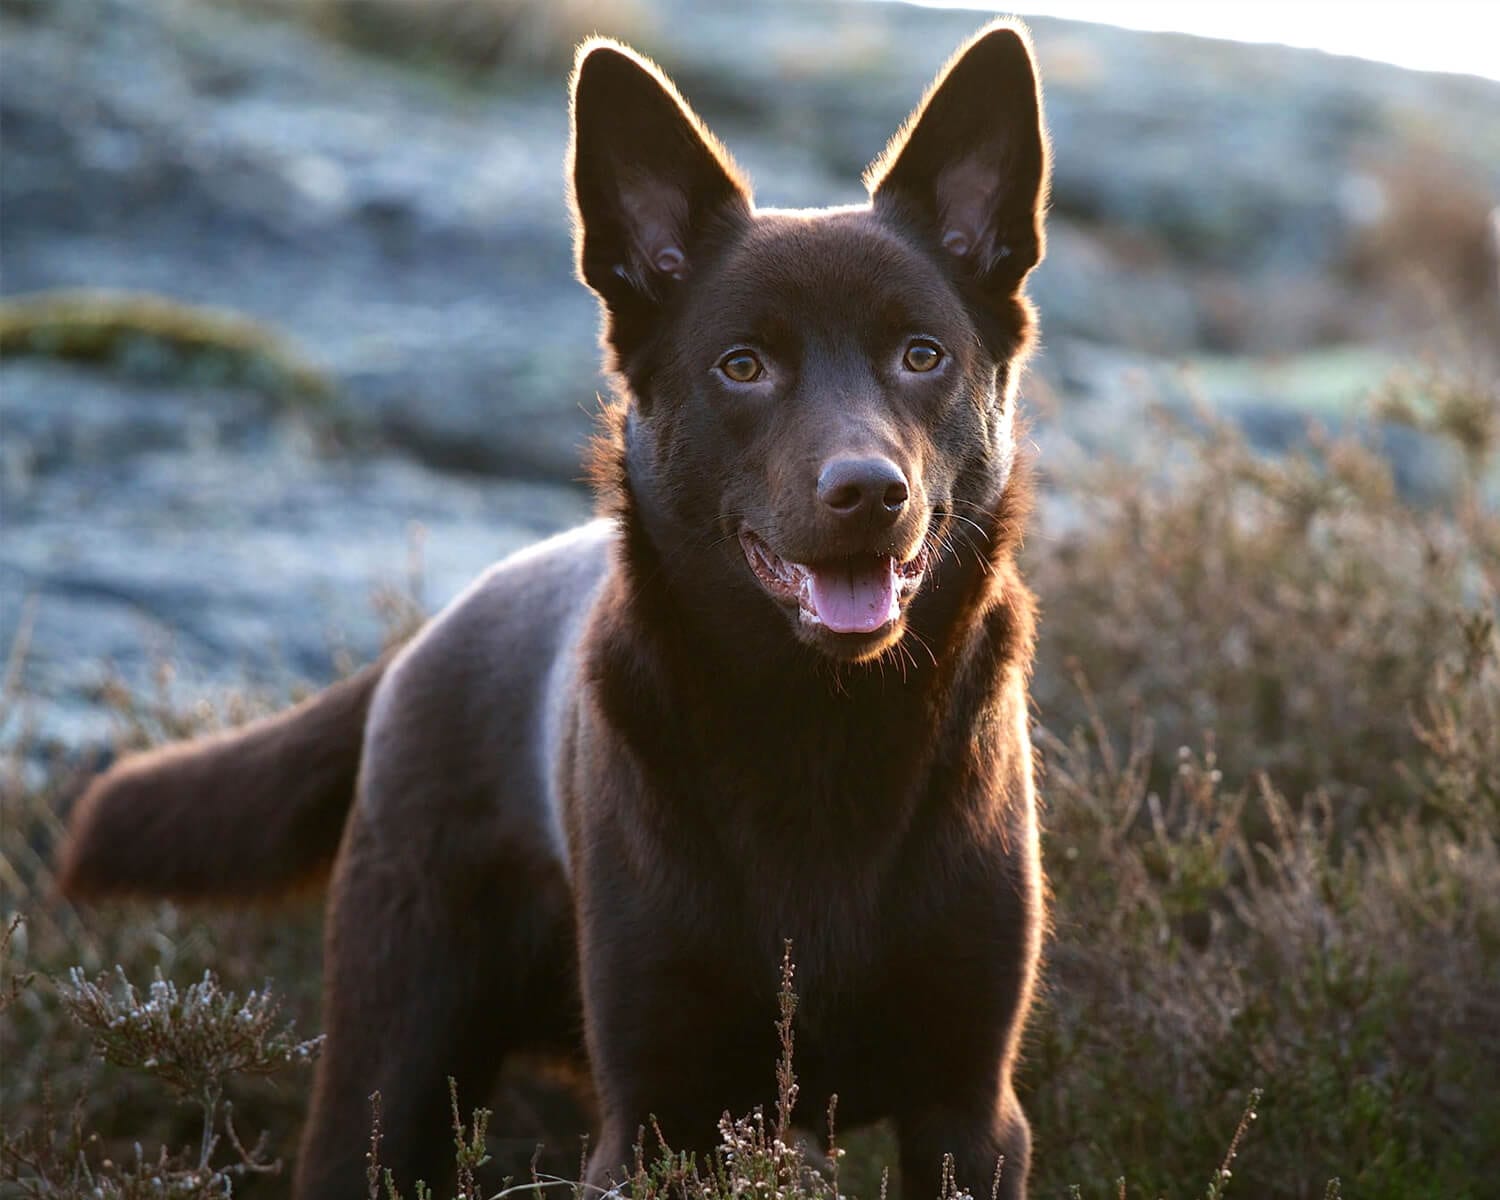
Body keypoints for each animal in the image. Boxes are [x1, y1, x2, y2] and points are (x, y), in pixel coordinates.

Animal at [61, 25, 1056, 1200]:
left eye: (921, 355)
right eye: (743, 366)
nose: (867, 492)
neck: (819, 727)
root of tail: (424, 640)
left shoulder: (967, 1110)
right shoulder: (657, 1114)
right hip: (390, 1064)